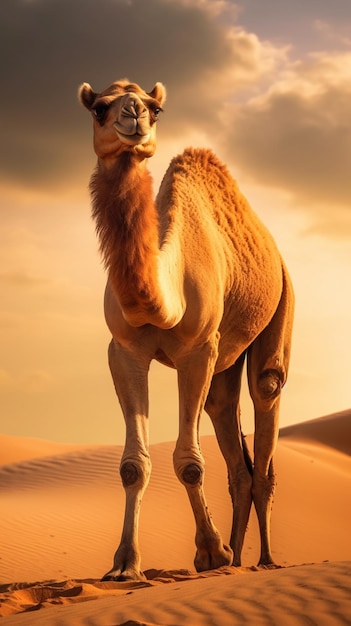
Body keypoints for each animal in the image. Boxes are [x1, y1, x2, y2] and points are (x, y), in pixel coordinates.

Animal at [79, 78, 294, 580]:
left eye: (155, 108)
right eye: (100, 107)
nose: (134, 115)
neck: (163, 301)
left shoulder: (197, 350)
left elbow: (190, 462)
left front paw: (211, 552)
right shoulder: (125, 350)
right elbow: (133, 465)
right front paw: (124, 565)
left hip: (282, 300)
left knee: (266, 393)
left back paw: (264, 560)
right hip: (224, 361)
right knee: (230, 432)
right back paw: (239, 558)